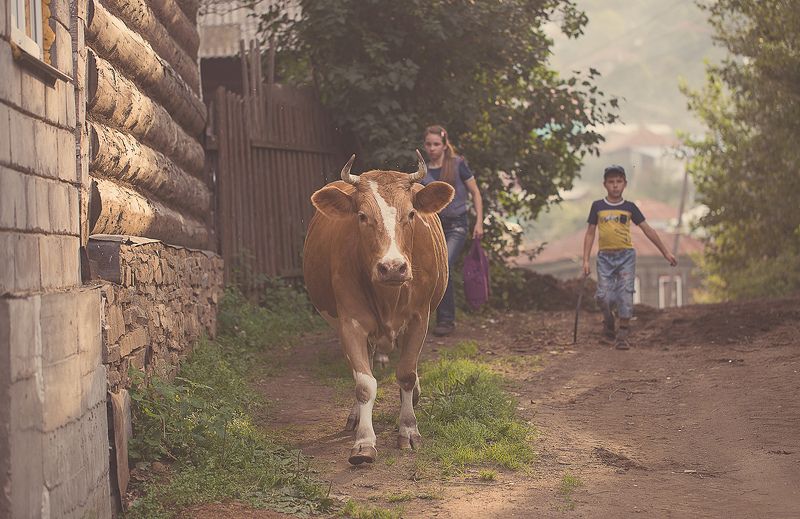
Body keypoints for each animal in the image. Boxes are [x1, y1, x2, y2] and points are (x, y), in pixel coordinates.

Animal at [303, 150, 454, 465]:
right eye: (362, 216)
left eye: (411, 214)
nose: (393, 267)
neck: (388, 298)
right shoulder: (350, 322)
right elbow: (364, 383)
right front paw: (363, 440)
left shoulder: (419, 317)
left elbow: (407, 373)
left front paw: (408, 428)